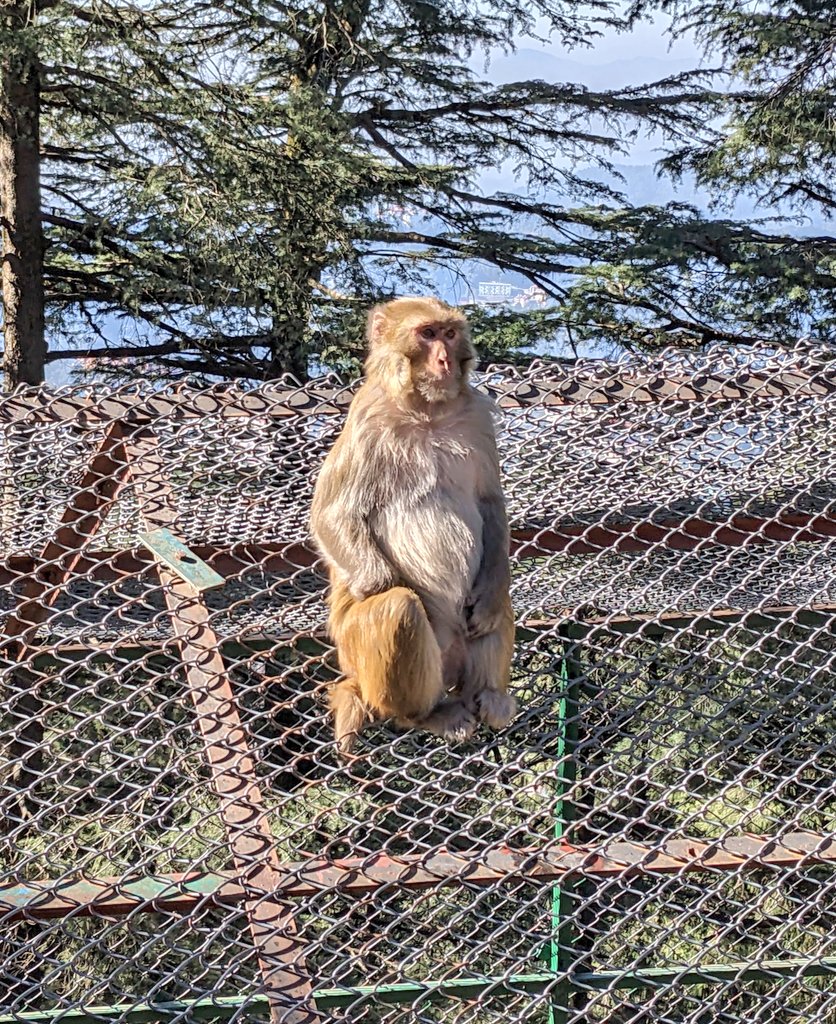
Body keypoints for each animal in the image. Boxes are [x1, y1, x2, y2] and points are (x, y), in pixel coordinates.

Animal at [310, 296, 516, 753]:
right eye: (427, 334)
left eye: (450, 334)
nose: (444, 359)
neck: (428, 412)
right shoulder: (367, 416)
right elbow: (333, 513)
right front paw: (384, 582)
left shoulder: (477, 416)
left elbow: (490, 504)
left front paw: (489, 601)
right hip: (361, 655)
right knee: (397, 609)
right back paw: (422, 715)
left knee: (497, 601)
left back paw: (489, 695)